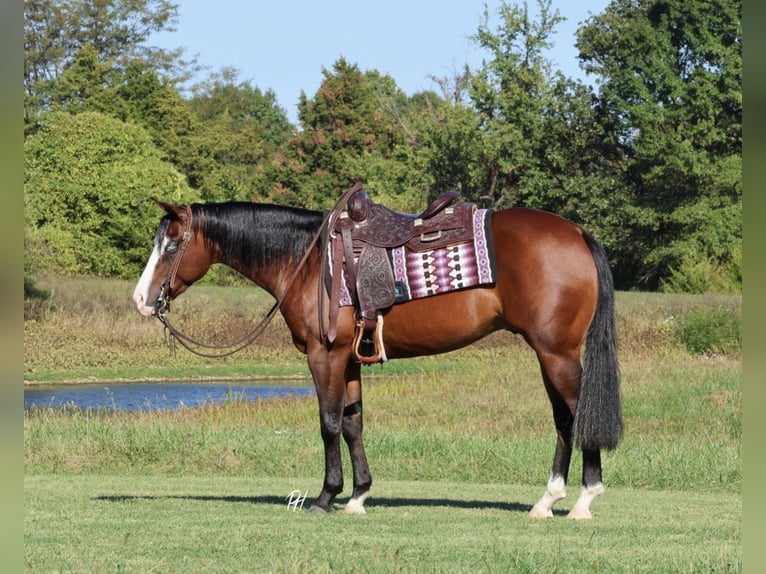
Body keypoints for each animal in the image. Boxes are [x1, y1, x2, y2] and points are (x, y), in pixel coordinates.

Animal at [132, 186, 621, 520]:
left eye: (171, 245)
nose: (141, 300)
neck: (308, 262)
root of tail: (576, 232)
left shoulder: (324, 356)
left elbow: (329, 424)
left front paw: (325, 496)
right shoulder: (349, 360)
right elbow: (353, 424)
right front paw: (358, 495)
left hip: (557, 354)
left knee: (577, 416)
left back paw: (583, 501)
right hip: (548, 354)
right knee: (563, 421)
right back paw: (546, 501)